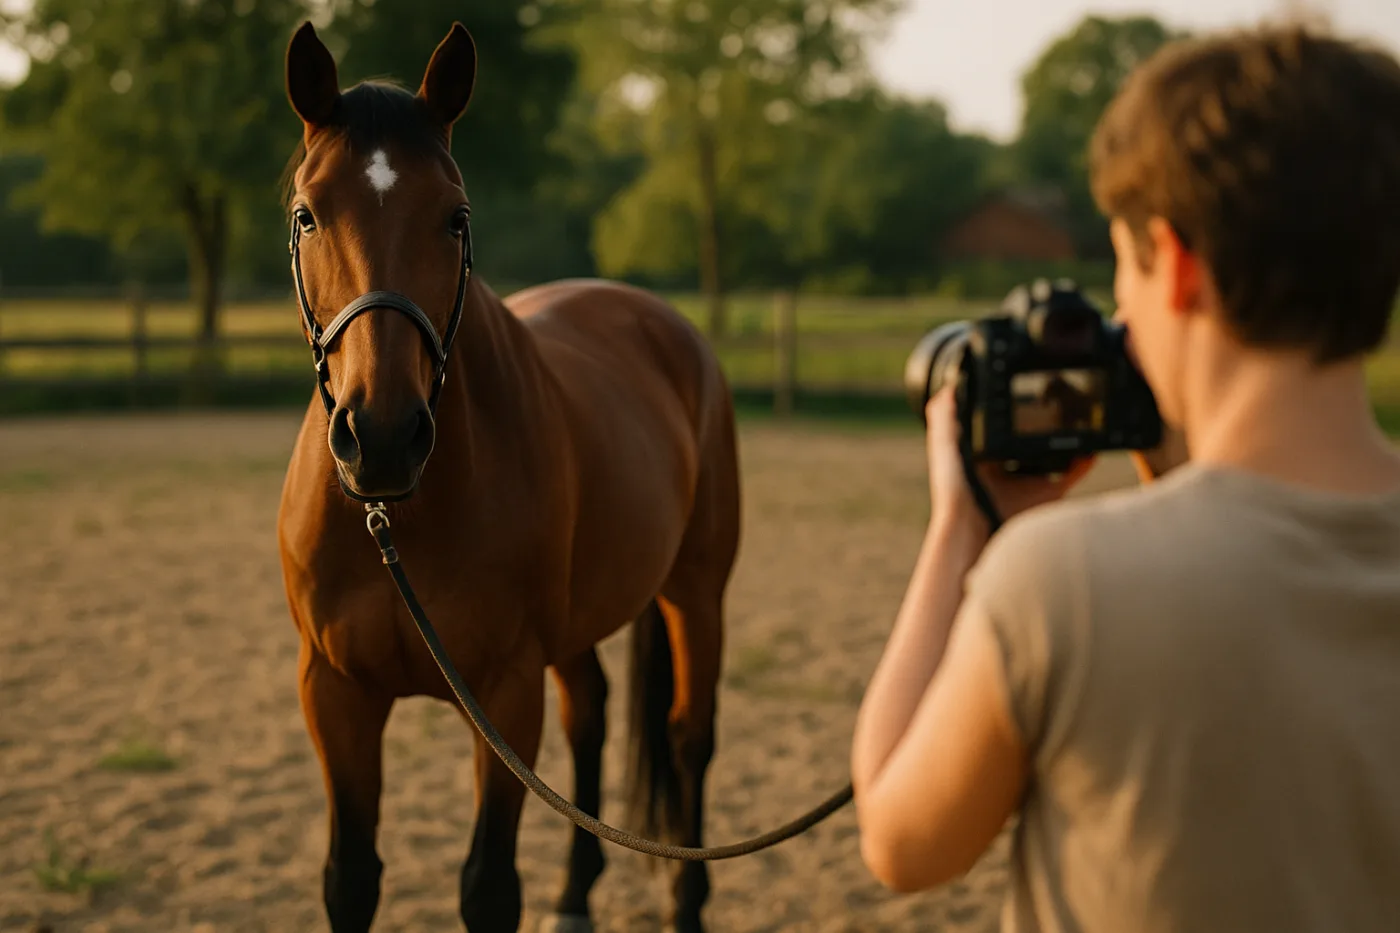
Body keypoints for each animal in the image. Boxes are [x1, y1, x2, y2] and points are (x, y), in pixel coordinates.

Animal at [275, 21, 741, 933]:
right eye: (307, 214)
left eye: (455, 218)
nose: (382, 437)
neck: (403, 519)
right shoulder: (334, 694)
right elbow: (350, 878)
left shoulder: (506, 692)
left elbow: (488, 885)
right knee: (592, 714)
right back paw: (575, 896)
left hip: (697, 592)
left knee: (689, 736)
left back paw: (686, 903)